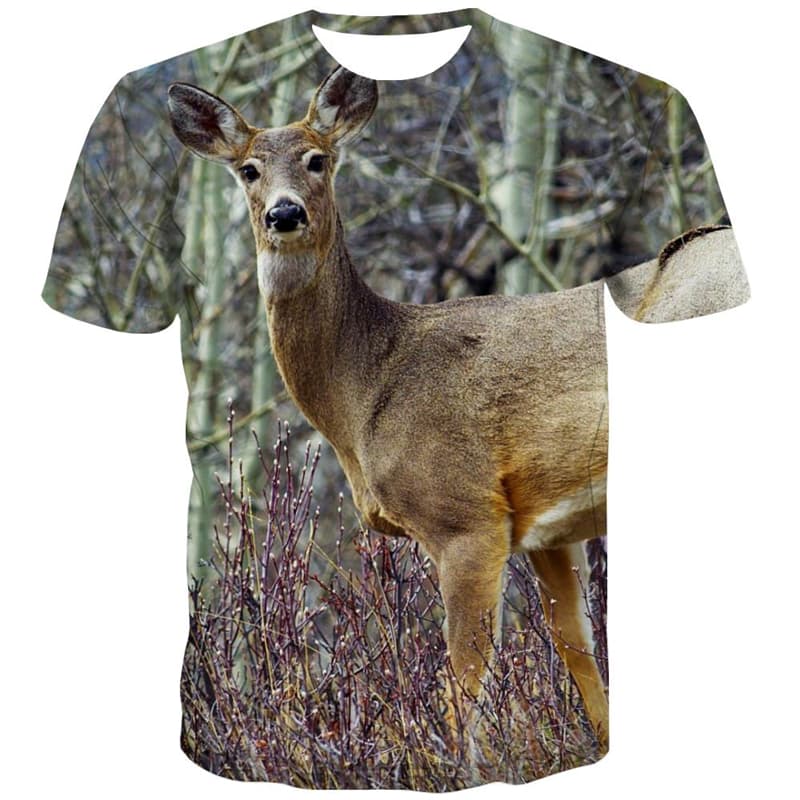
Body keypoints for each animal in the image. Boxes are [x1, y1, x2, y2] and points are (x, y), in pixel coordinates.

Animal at [167, 66, 748, 752]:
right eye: (249, 169)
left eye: (317, 159)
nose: (285, 213)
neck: (366, 392)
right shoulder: (543, 529)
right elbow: (580, 658)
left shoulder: (464, 516)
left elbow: (462, 693)